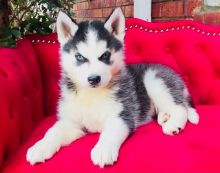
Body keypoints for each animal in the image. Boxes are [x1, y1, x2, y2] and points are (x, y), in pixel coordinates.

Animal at [26, 7, 199, 168]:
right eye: (79, 57)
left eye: (105, 55)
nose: (94, 79)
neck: (92, 95)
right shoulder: (71, 121)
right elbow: (53, 131)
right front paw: (39, 147)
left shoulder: (122, 115)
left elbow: (110, 132)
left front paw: (103, 150)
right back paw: (163, 116)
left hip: (155, 80)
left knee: (180, 108)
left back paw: (173, 124)